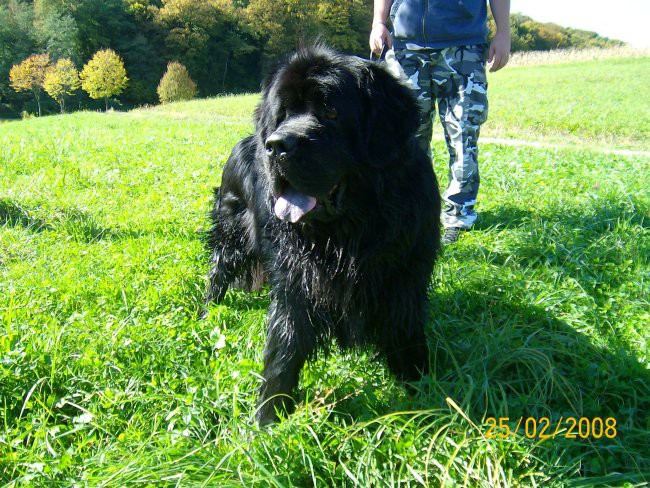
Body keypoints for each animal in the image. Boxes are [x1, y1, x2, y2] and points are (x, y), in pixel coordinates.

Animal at [206, 46, 440, 428]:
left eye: (331, 111)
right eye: (283, 114)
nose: (276, 146)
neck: (348, 233)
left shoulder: (403, 276)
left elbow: (405, 332)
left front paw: (426, 392)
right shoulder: (297, 280)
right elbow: (284, 345)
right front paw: (267, 419)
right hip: (232, 235)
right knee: (217, 273)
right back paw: (205, 313)